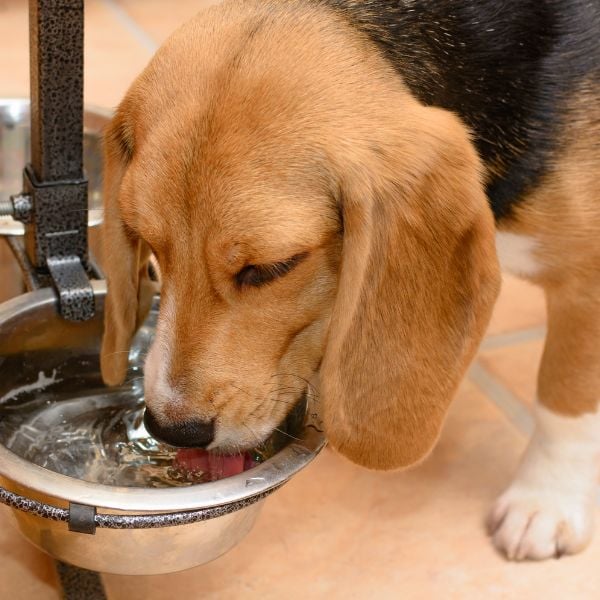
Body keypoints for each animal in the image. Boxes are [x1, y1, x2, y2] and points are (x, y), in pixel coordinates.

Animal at [99, 0, 600, 564]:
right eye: (150, 250)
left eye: (272, 267)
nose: (171, 428)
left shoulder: (587, 282)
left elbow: (566, 397)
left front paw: (546, 501)